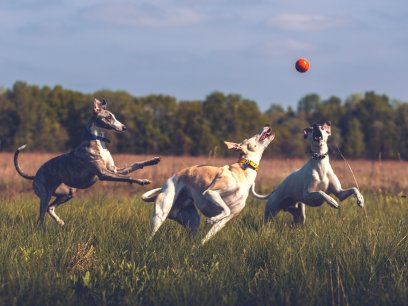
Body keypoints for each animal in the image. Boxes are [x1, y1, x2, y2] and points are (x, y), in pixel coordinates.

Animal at [13, 98, 159, 230]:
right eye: (109, 117)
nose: (124, 127)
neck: (98, 140)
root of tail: (35, 175)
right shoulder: (103, 173)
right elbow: (128, 177)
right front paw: (142, 181)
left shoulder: (114, 170)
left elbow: (135, 164)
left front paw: (153, 160)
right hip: (45, 195)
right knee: (41, 218)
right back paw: (43, 231)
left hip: (68, 193)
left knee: (50, 208)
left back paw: (60, 222)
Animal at [143, 124, 274, 244]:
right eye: (255, 135)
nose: (267, 125)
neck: (244, 169)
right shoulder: (210, 193)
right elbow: (226, 209)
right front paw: (211, 220)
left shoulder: (226, 220)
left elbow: (207, 237)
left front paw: (202, 241)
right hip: (161, 213)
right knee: (150, 235)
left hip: (192, 220)